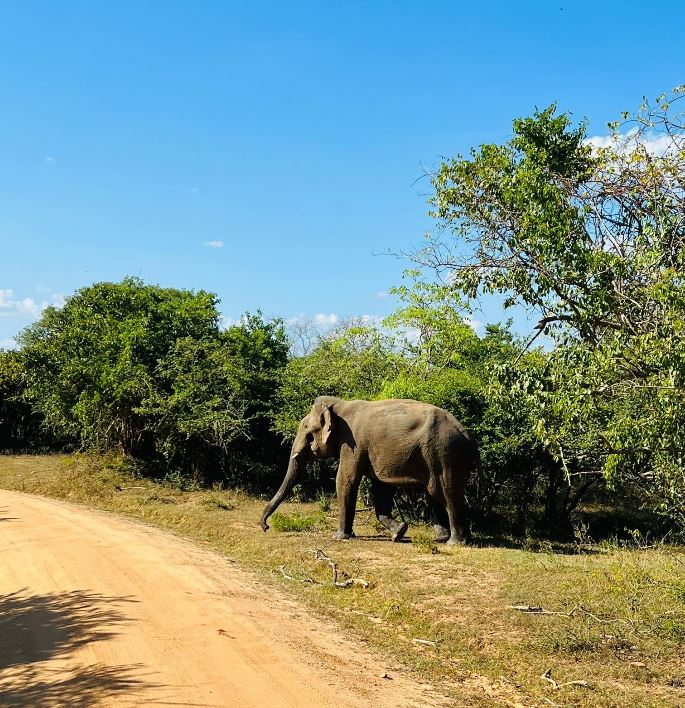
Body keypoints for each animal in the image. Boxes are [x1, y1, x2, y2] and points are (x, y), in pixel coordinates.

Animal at [258, 396, 476, 544]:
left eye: (307, 430)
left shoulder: (353, 445)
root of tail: (467, 436)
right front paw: (399, 532)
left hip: (444, 454)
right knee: (436, 495)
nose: (266, 527)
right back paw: (445, 538)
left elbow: (345, 480)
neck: (340, 405)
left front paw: (339, 537)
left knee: (446, 493)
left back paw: (454, 542)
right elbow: (381, 489)